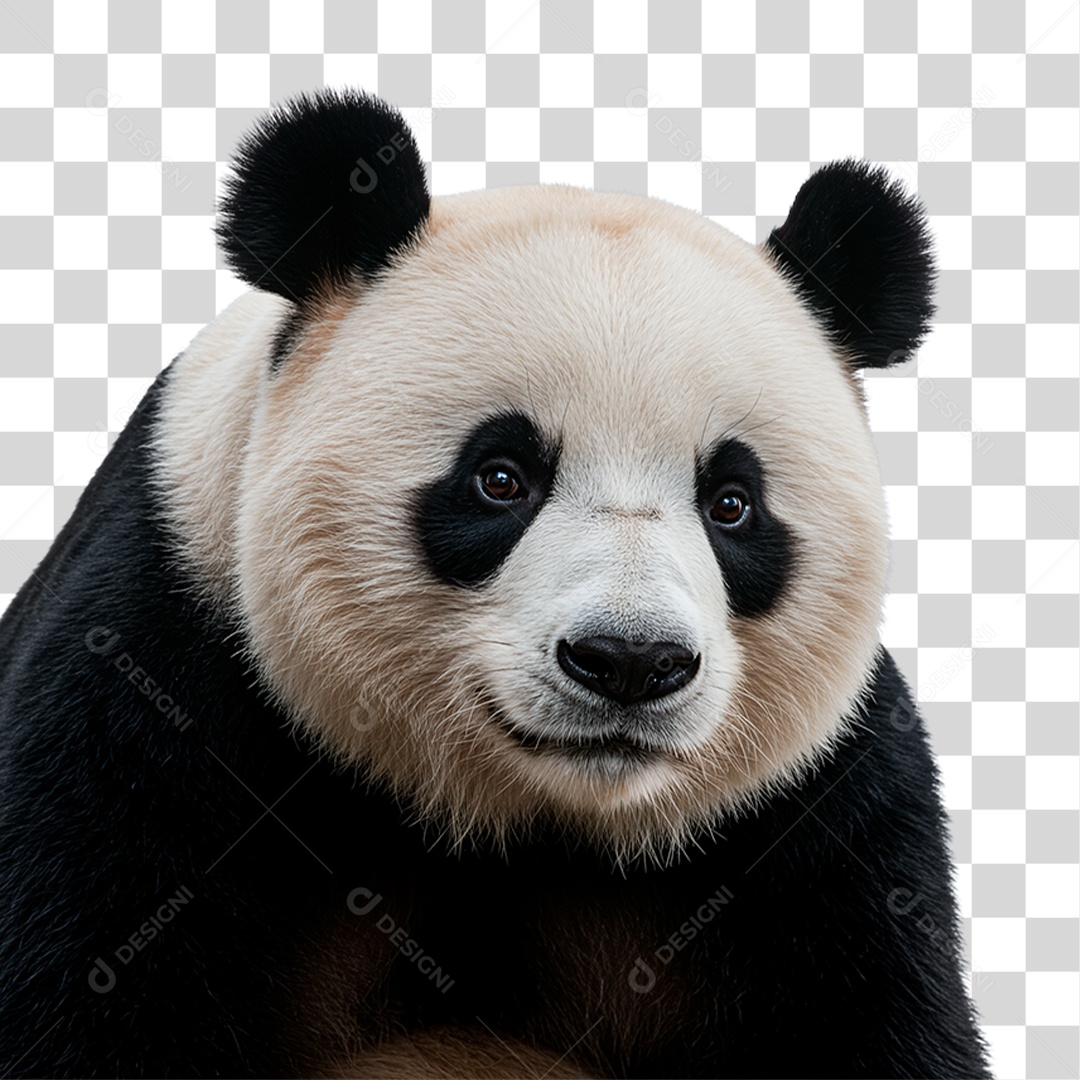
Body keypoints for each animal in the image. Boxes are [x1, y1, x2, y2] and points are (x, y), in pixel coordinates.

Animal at [0, 89, 990, 1079]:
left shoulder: (817, 826)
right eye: (502, 478)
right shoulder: (157, 691)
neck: (521, 821)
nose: (630, 661)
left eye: (732, 503)